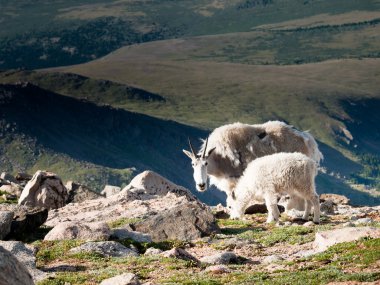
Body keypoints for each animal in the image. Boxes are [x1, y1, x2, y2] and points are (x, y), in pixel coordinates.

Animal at [183, 120, 322, 209]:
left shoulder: (234, 178)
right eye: (192, 164)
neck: (218, 157)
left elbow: (233, 196)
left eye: (205, 163)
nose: (201, 185)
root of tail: (308, 139)